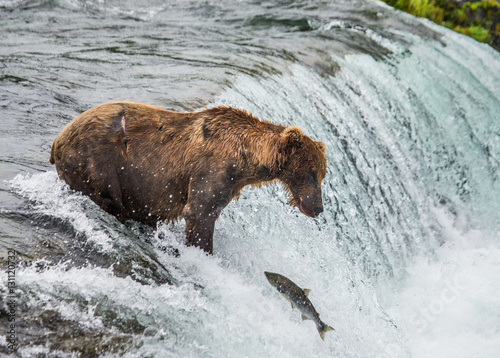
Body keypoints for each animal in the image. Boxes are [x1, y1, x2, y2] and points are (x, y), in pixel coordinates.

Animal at [50, 101, 328, 255]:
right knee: (109, 199)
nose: (318, 207)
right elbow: (200, 213)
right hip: (97, 163)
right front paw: (204, 251)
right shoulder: (212, 170)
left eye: (322, 174)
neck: (246, 159)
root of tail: (56, 141)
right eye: (311, 173)